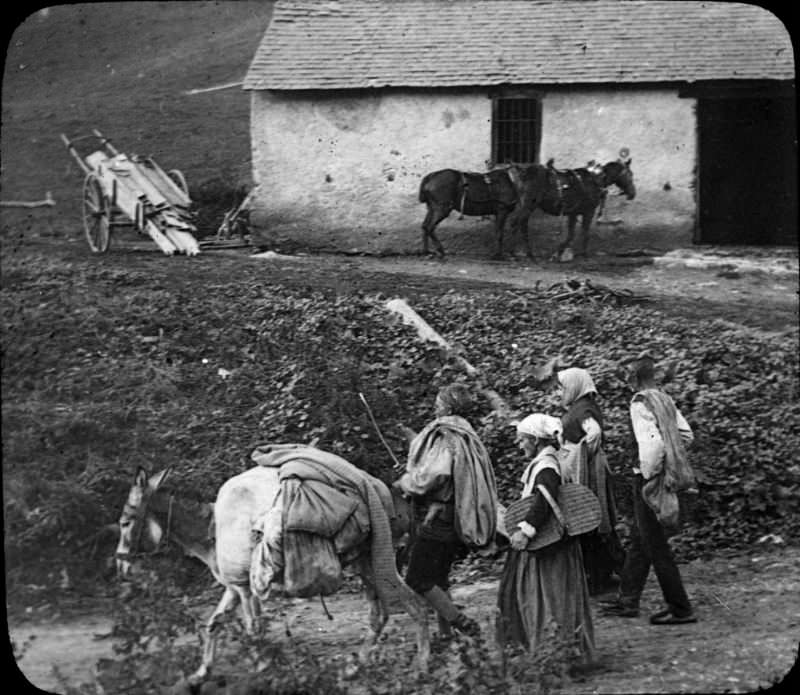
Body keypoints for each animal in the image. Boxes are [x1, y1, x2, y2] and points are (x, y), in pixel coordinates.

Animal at [506, 156, 636, 260]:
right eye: (630, 174)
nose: (632, 194)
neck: (595, 180)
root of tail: (522, 172)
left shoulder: (573, 213)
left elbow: (571, 234)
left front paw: (559, 253)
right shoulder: (588, 212)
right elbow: (585, 232)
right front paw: (583, 254)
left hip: (526, 206)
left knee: (522, 225)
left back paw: (528, 253)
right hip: (528, 205)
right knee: (516, 223)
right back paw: (513, 253)